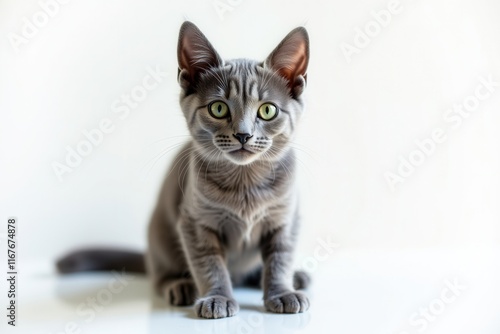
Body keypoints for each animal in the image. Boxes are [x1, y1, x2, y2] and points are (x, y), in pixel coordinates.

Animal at [58, 20, 310, 318]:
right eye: (218, 108)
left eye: (268, 110)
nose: (243, 134)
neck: (245, 182)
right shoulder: (194, 223)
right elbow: (210, 265)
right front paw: (217, 298)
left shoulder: (285, 220)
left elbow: (281, 258)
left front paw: (282, 292)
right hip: (160, 233)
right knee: (159, 276)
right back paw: (180, 287)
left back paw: (297, 277)